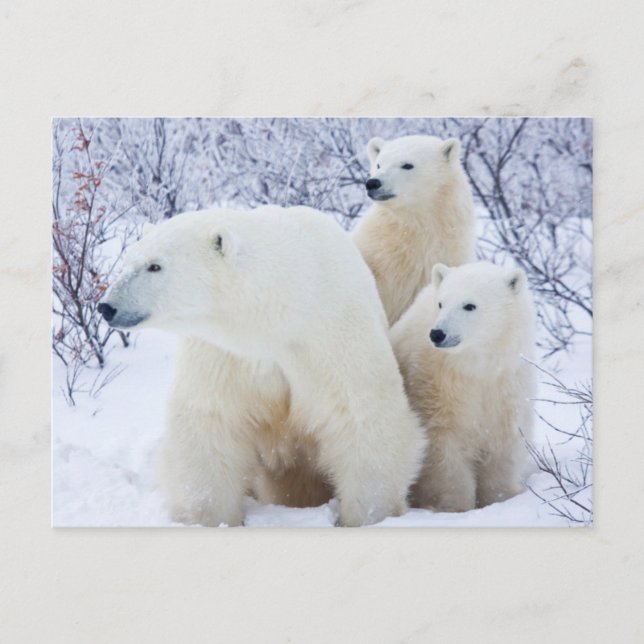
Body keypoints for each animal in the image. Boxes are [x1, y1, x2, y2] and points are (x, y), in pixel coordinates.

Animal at [98, 205, 427, 527]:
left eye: (155, 266)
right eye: (127, 260)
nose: (106, 306)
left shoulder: (329, 337)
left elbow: (361, 417)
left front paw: (368, 516)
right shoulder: (224, 354)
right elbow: (210, 421)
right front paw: (206, 518)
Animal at [389, 261, 536, 512]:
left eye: (469, 305)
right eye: (441, 303)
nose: (437, 334)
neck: (474, 366)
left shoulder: (506, 385)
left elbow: (502, 443)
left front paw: (500, 497)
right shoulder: (435, 386)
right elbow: (445, 450)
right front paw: (456, 507)